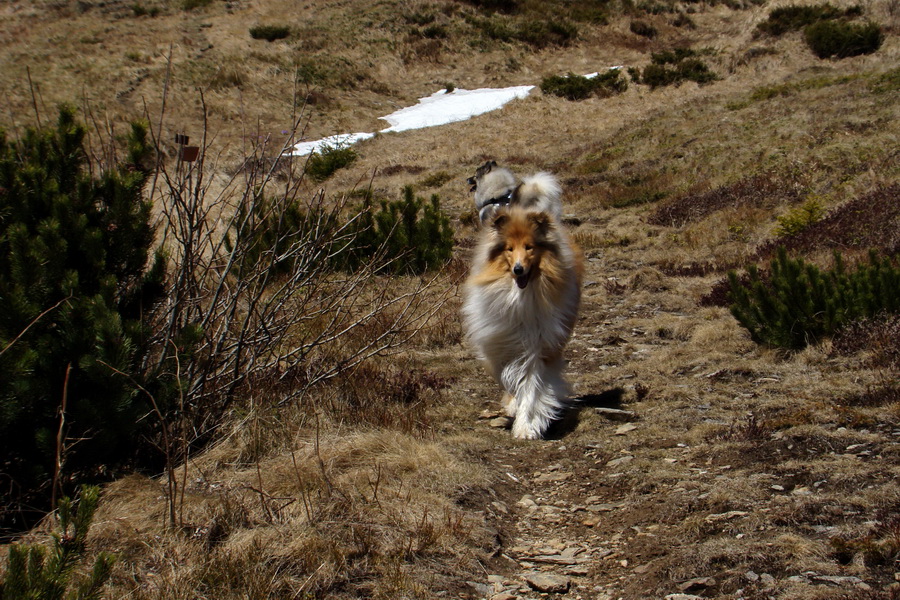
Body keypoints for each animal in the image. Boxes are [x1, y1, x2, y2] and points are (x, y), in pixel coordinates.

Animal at [464, 205, 584, 436]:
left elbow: (532, 384)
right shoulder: (500, 342)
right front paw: (515, 405)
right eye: (509, 249)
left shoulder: (539, 347)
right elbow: (507, 376)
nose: (518, 269)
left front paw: (526, 426)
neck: (521, 296)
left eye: (529, 247)